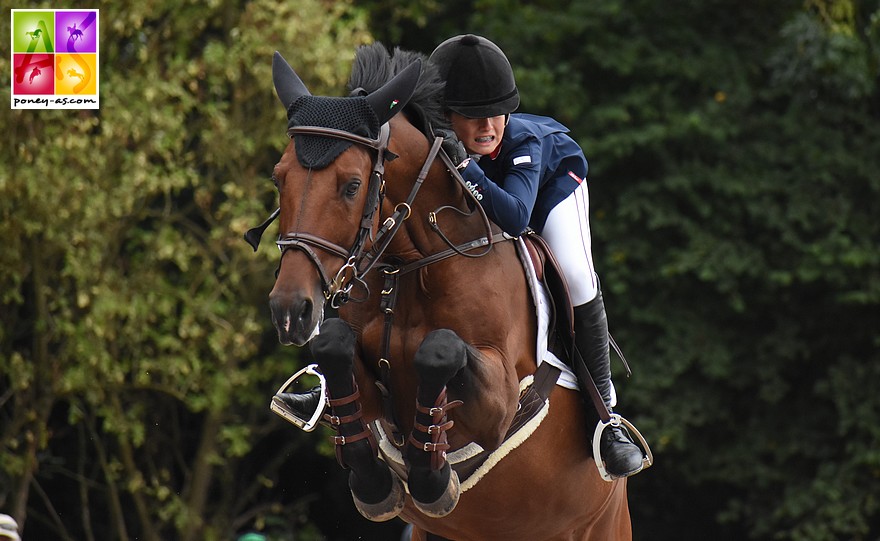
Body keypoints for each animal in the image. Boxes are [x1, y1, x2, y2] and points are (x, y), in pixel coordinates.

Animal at [254, 44, 632, 536]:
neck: (412, 268)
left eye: (352, 185)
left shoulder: (501, 402)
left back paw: (617, 442)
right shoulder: (368, 392)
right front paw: (376, 484)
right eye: (279, 178)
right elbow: (335, 347)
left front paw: (432, 478)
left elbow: (440, 349)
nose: (289, 310)